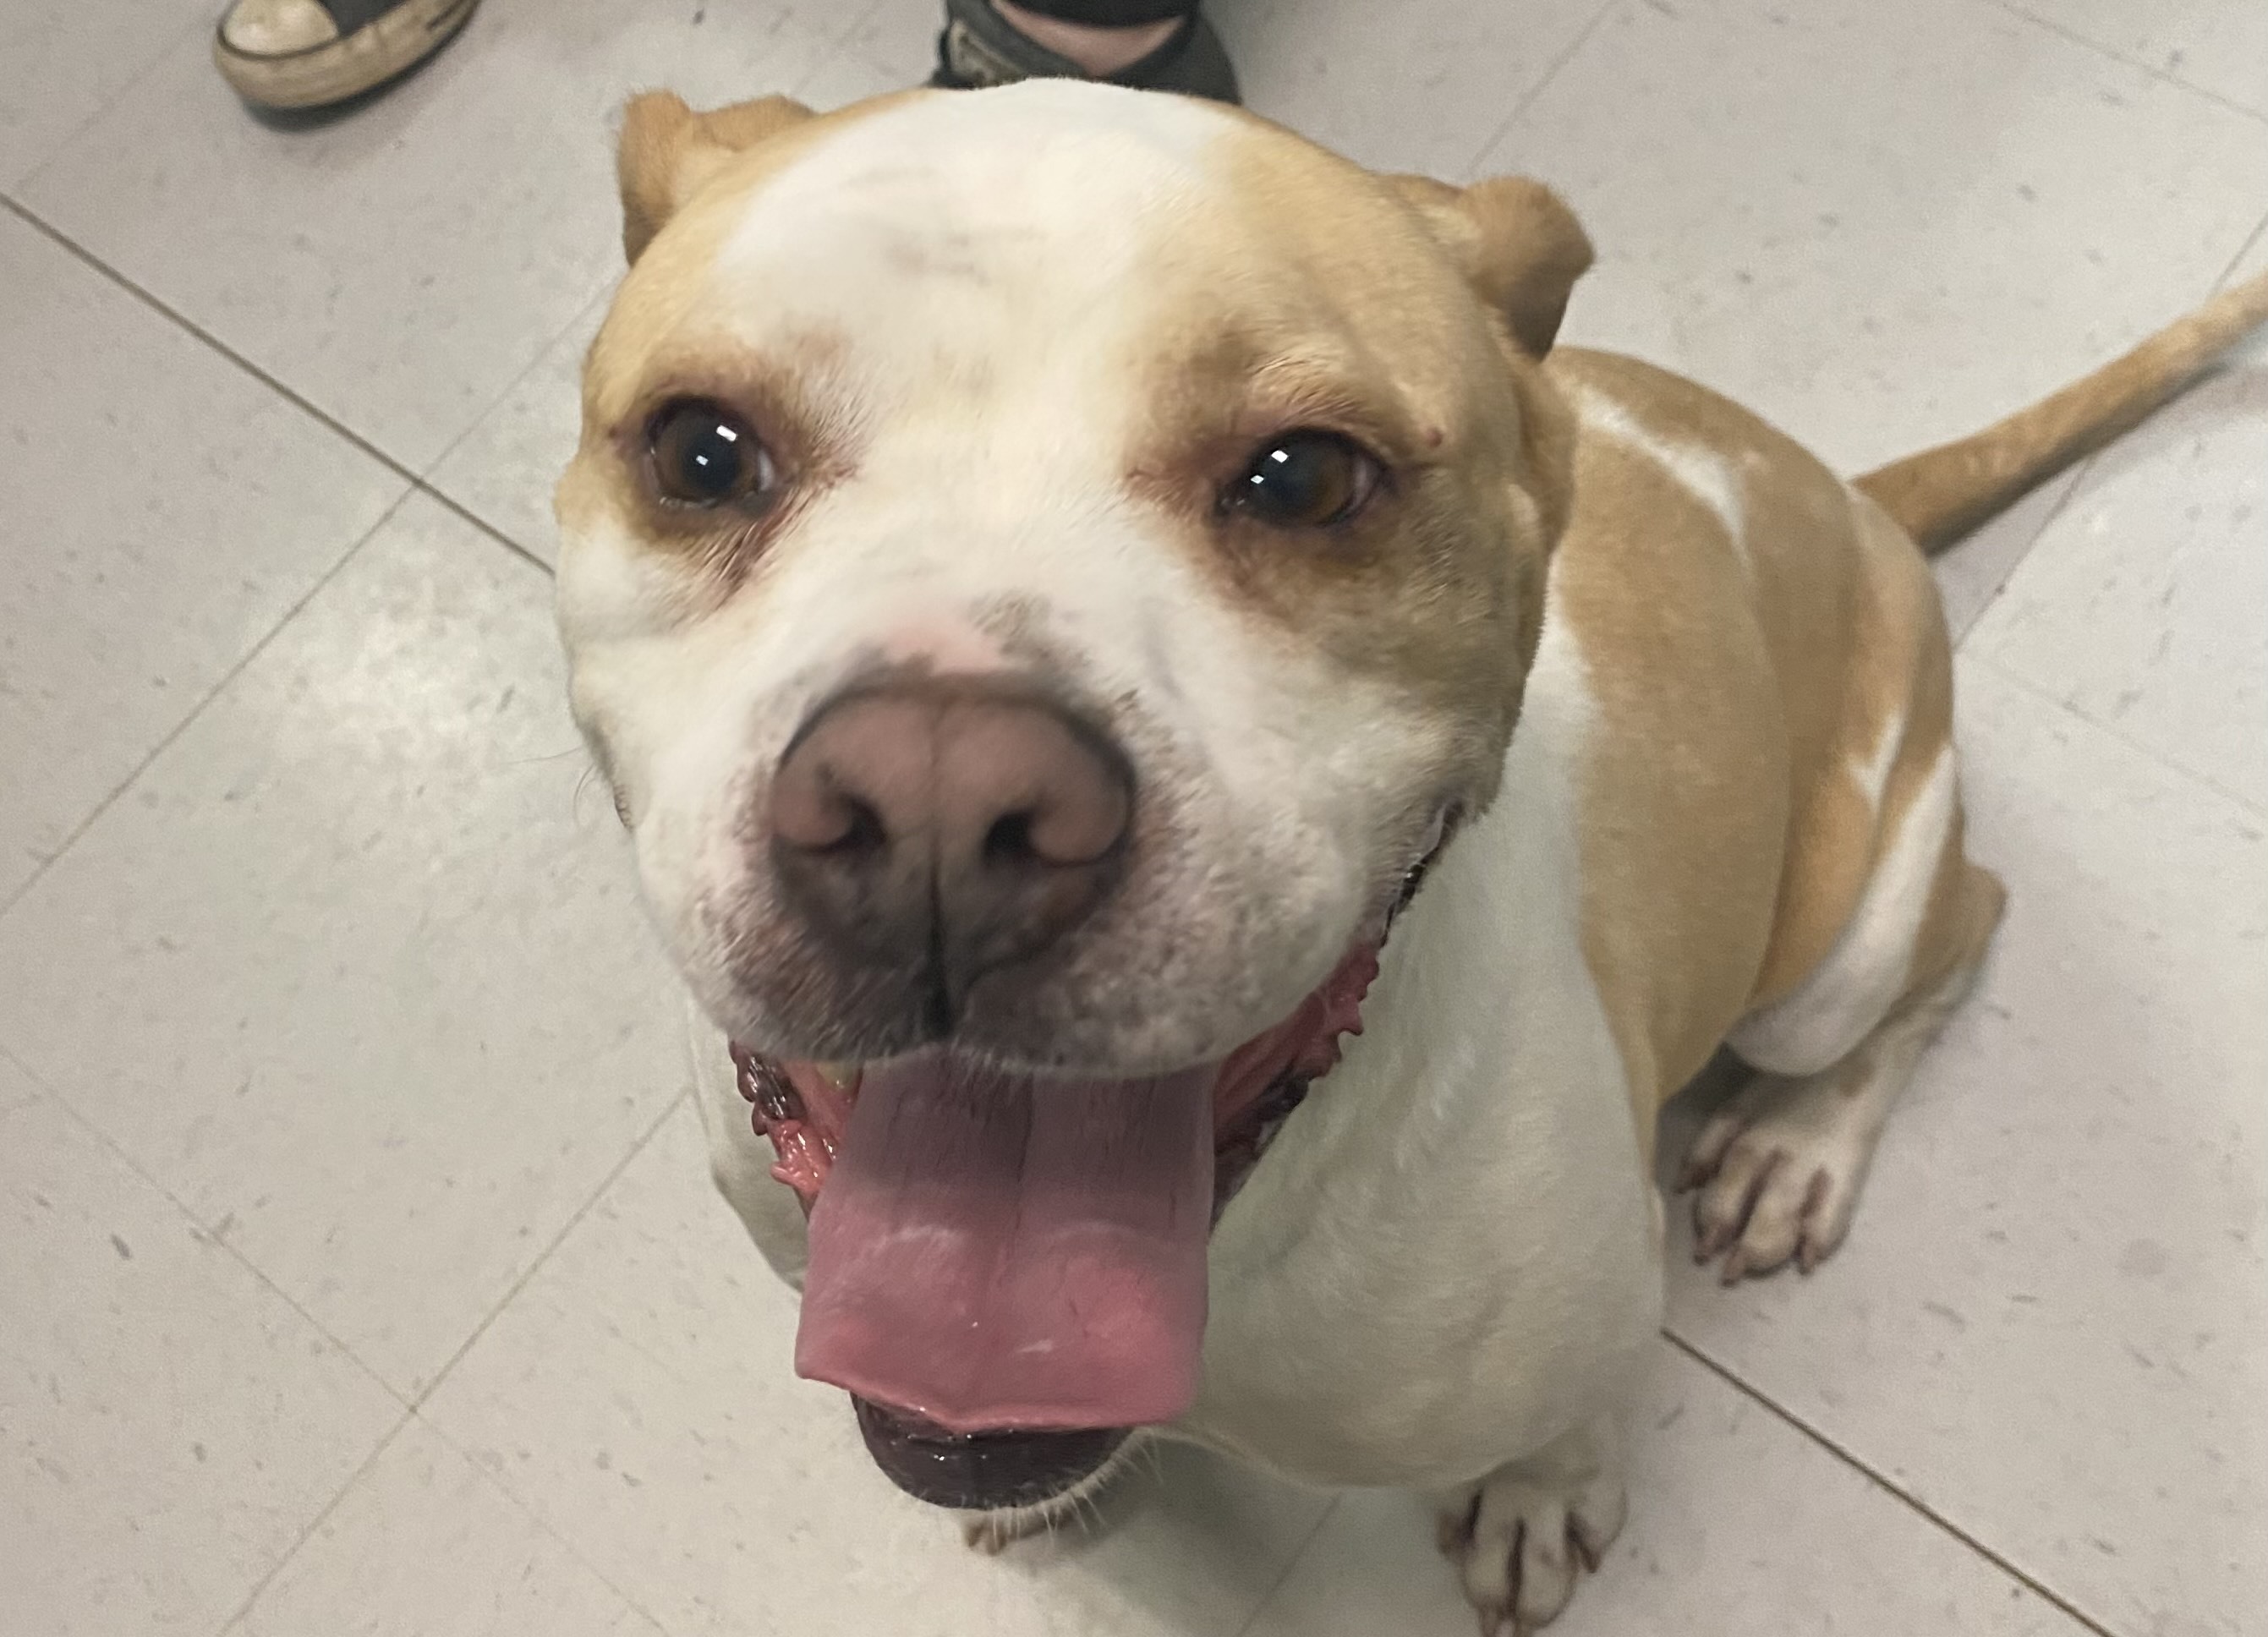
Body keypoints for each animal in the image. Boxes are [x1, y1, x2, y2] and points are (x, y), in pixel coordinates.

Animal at [553, 76, 2268, 1623]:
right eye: (700, 452)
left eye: (1305, 476)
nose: (938, 805)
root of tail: (1850, 497)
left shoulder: (1598, 1294)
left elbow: (1575, 1419)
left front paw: (1539, 1494)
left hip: (1840, 944)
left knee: (1952, 935)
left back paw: (1795, 1145)